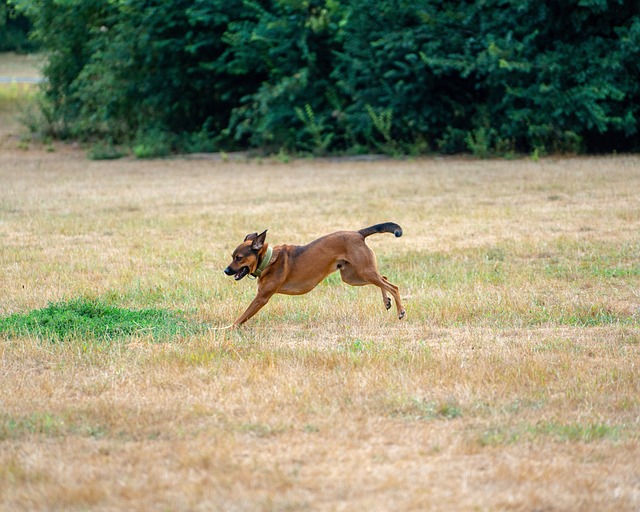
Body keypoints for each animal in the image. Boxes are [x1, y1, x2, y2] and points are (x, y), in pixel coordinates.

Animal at [225, 222, 404, 326]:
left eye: (239, 258)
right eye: (232, 257)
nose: (226, 271)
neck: (268, 260)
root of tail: (358, 234)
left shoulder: (261, 298)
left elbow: (241, 317)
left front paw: (227, 328)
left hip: (364, 271)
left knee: (393, 286)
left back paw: (400, 310)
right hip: (352, 277)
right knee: (384, 279)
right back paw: (387, 302)